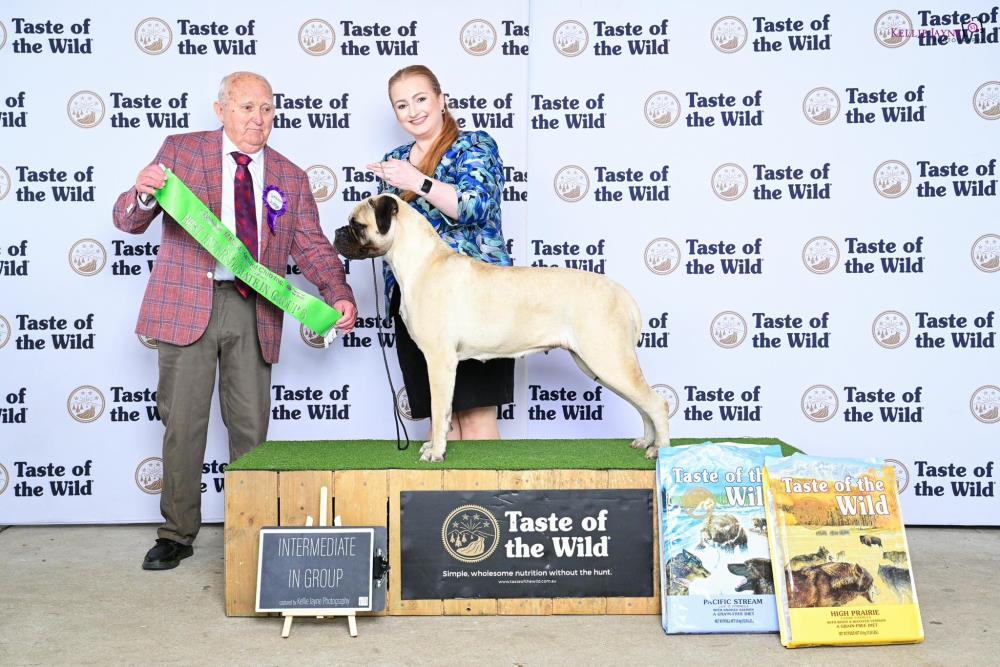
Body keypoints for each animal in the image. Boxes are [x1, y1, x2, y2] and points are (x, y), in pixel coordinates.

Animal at [334, 194, 670, 462]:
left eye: (357, 224)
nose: (337, 232)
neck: (418, 261)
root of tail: (623, 294)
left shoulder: (439, 361)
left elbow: (439, 409)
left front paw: (436, 452)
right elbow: (443, 413)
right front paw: (434, 446)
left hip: (608, 359)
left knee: (657, 403)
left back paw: (660, 451)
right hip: (601, 364)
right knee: (642, 404)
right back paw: (646, 442)